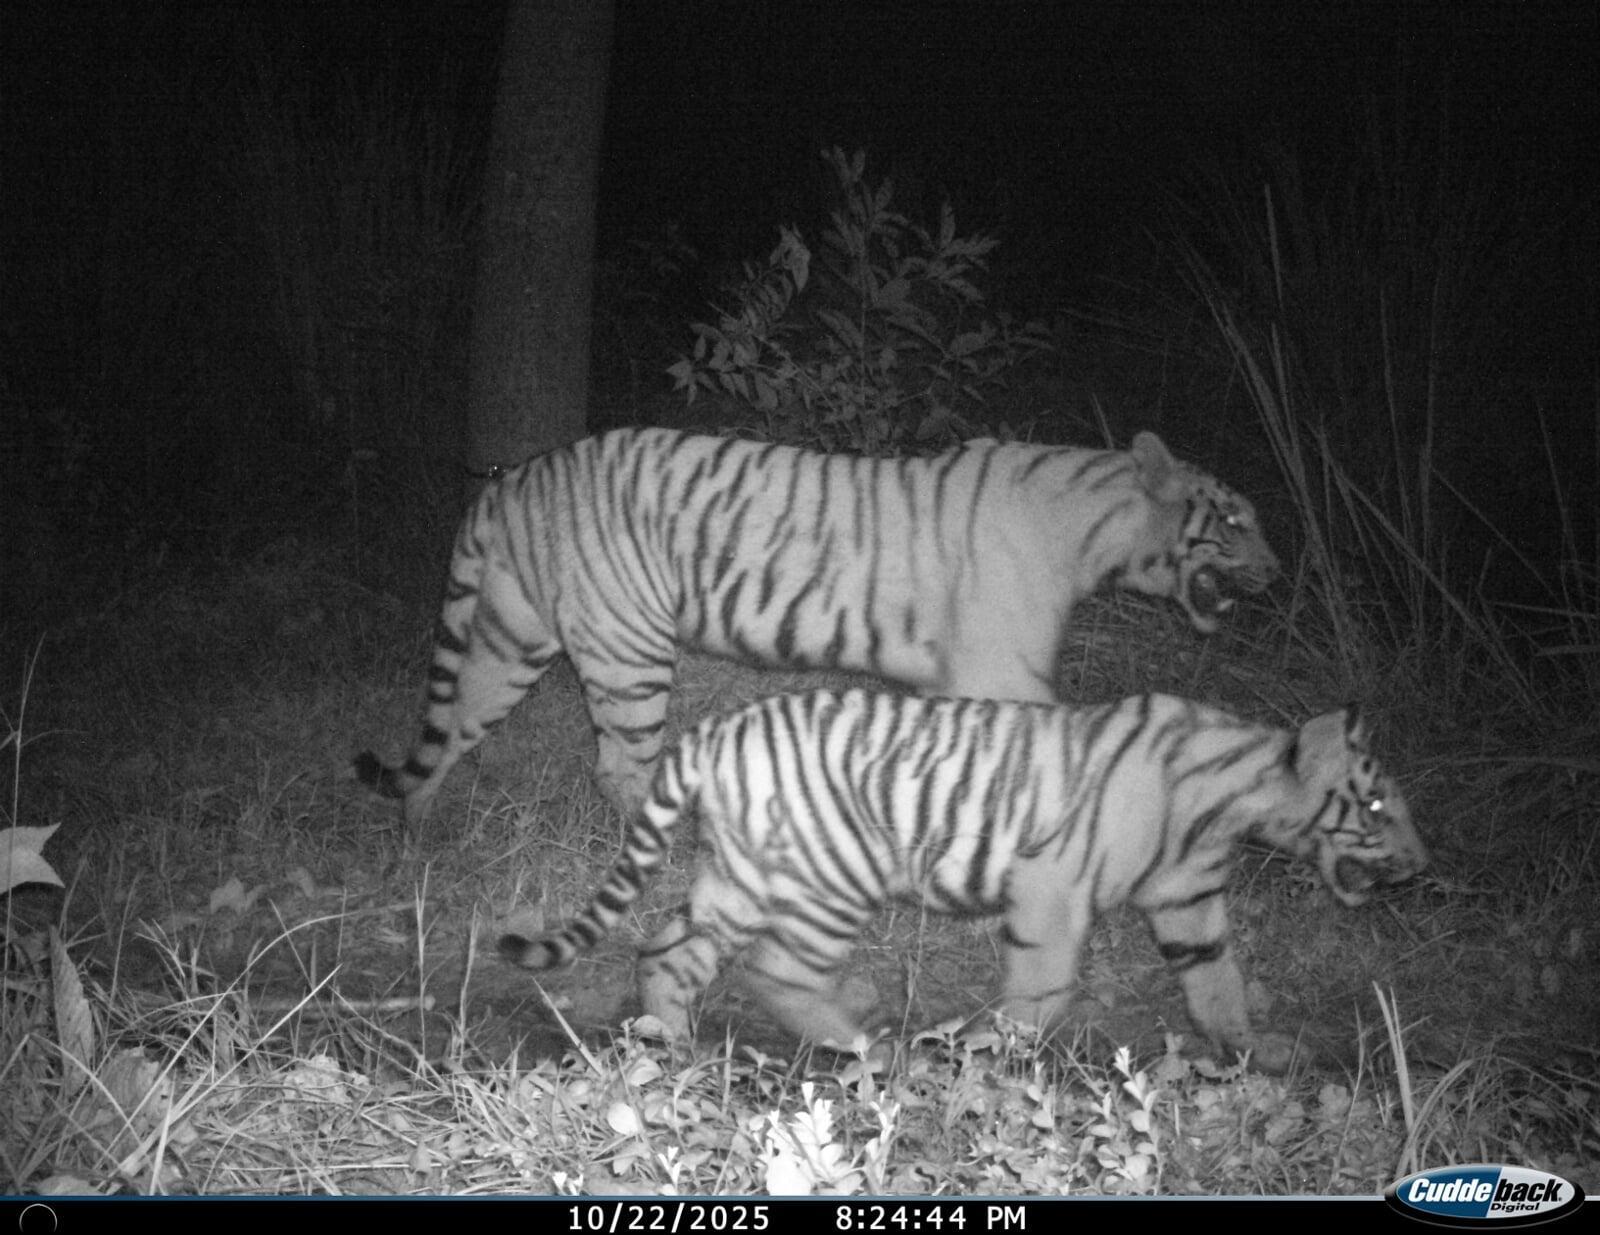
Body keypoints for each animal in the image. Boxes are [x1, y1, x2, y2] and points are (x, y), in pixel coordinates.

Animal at [355, 428, 1279, 834]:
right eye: (1234, 520)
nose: (1276, 568)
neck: (1097, 530)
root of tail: (512, 479)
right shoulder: (1006, 672)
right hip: (627, 651)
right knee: (618, 765)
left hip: (511, 636)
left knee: (455, 725)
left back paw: (417, 834)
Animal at [499, 688, 1427, 1073]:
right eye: (1380, 803)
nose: (1425, 865)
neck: (1233, 800)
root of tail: (713, 733)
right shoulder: (1053, 884)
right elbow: (1044, 987)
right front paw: (986, 1049)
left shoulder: (1188, 901)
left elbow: (1219, 983)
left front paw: (1253, 1051)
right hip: (831, 875)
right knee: (776, 968)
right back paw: (866, 1044)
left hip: (740, 874)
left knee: (669, 949)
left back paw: (673, 1040)